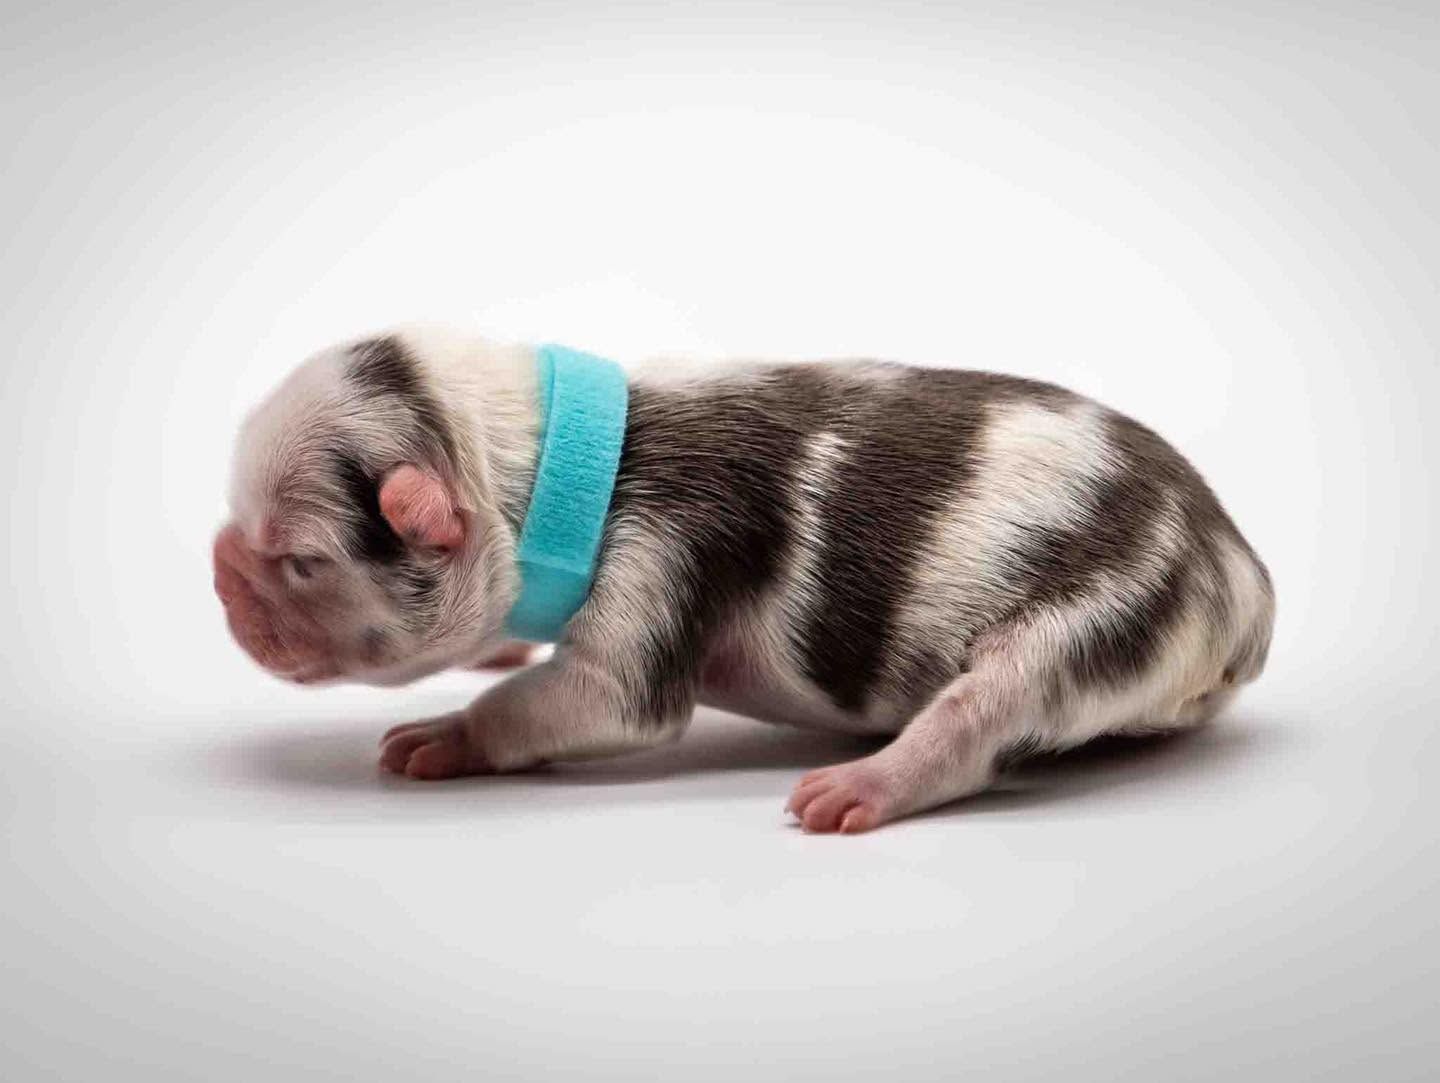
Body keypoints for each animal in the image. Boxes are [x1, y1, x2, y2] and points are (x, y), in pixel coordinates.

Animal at [214, 327, 1273, 833]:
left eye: (303, 558)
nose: (219, 574)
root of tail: (1239, 572)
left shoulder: (663, 555)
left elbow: (607, 699)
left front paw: (436, 737)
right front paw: (497, 653)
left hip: (1107, 609)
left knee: (989, 713)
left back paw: (855, 790)